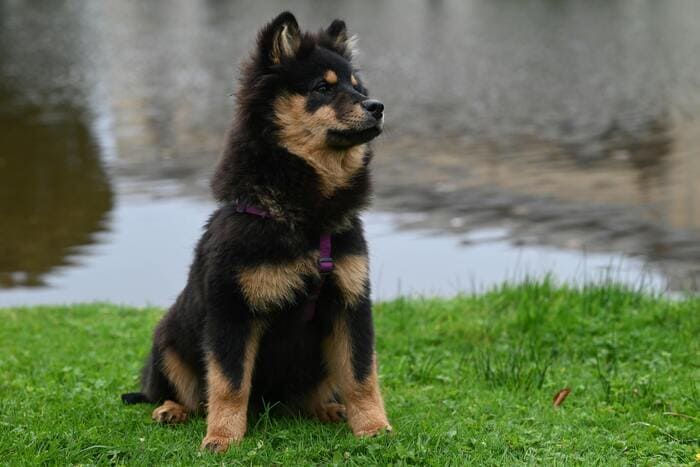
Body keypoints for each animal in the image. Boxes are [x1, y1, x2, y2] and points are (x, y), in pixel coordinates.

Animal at [122, 11, 392, 454]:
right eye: (322, 88)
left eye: (357, 86)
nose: (377, 106)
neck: (306, 219)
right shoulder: (233, 311)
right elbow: (229, 383)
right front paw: (222, 437)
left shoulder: (350, 303)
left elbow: (360, 375)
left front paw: (373, 427)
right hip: (167, 341)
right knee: (182, 392)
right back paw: (171, 410)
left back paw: (327, 409)